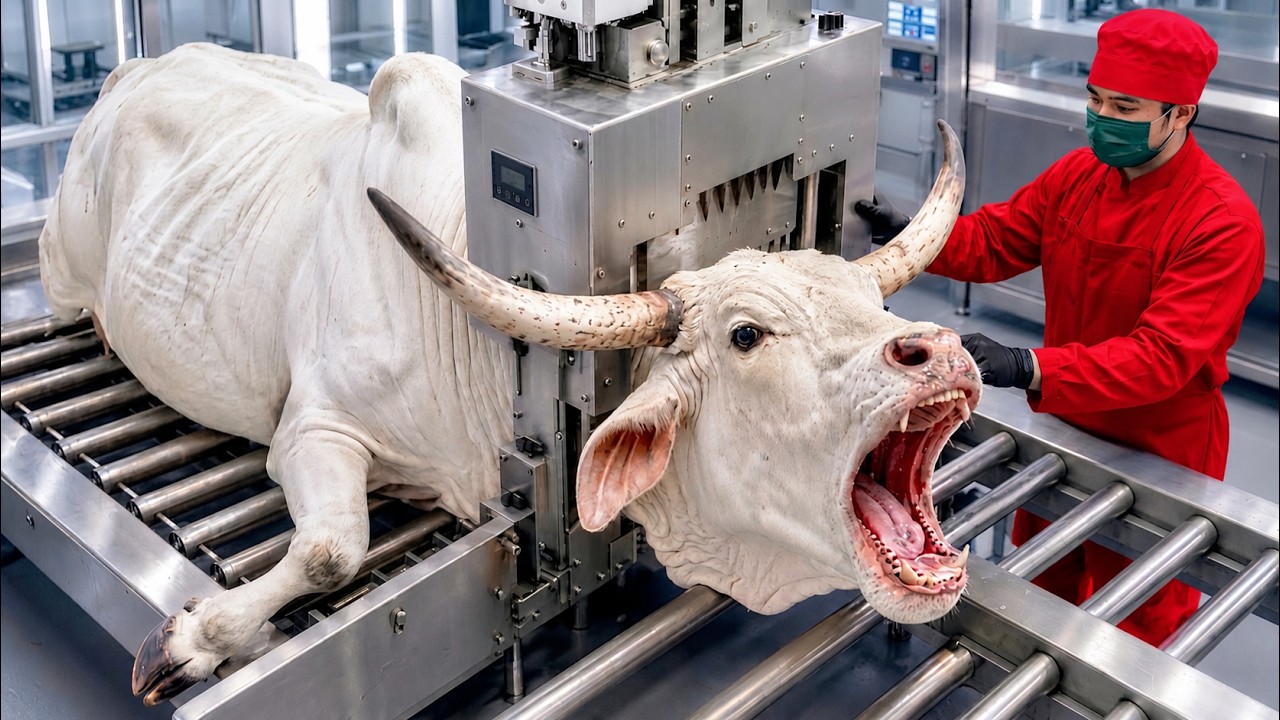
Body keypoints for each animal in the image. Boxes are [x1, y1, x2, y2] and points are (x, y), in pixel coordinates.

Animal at [36, 43, 978, 706]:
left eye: (870, 296)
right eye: (747, 334)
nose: (938, 350)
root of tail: (132, 71)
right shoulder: (314, 426)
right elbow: (334, 551)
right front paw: (191, 640)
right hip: (63, 271)